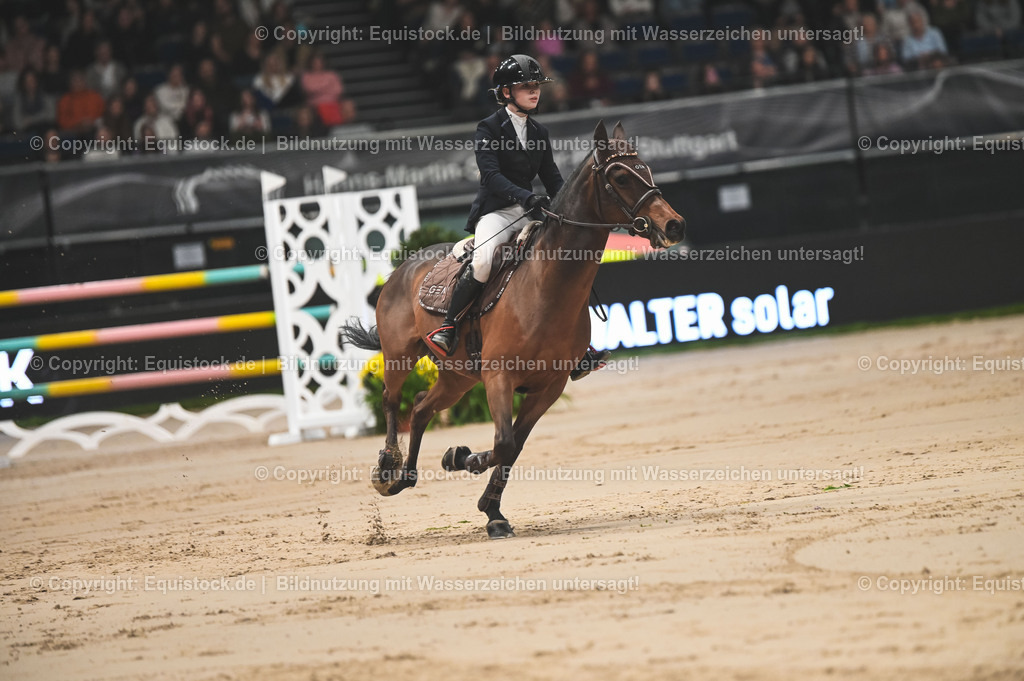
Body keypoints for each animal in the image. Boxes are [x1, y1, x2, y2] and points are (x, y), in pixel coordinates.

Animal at [341, 120, 685, 539]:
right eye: (620, 177)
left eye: (646, 169)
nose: (674, 225)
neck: (547, 287)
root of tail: (403, 267)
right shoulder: (499, 377)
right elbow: (504, 442)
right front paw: (465, 461)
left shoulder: (548, 387)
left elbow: (514, 446)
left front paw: (489, 506)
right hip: (399, 356)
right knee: (392, 401)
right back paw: (388, 470)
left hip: (458, 377)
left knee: (420, 408)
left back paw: (407, 476)